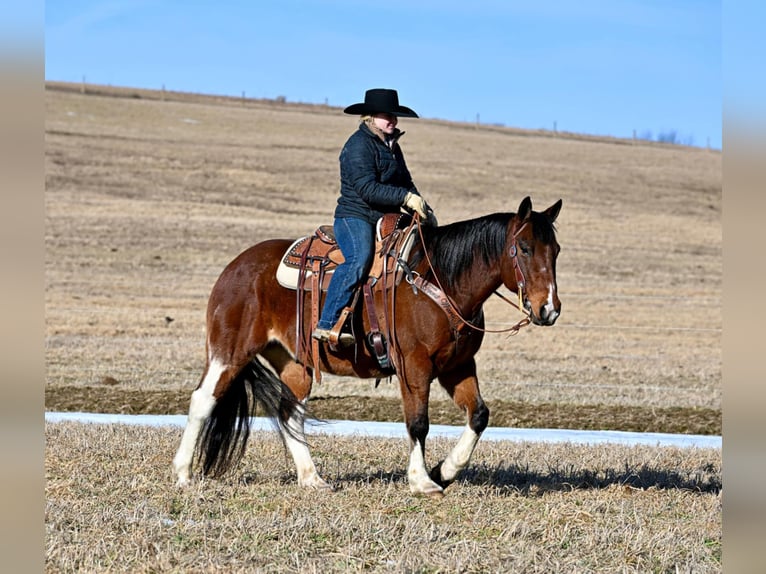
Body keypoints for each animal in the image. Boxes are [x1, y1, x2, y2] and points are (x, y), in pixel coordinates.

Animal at [174, 196, 564, 498]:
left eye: (556, 250)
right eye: (524, 248)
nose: (549, 309)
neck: (441, 280)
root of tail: (236, 267)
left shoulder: (458, 366)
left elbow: (479, 415)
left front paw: (445, 470)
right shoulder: (413, 365)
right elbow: (418, 423)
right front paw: (422, 480)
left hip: (294, 363)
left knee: (289, 412)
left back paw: (312, 479)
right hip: (229, 352)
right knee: (203, 400)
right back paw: (182, 473)